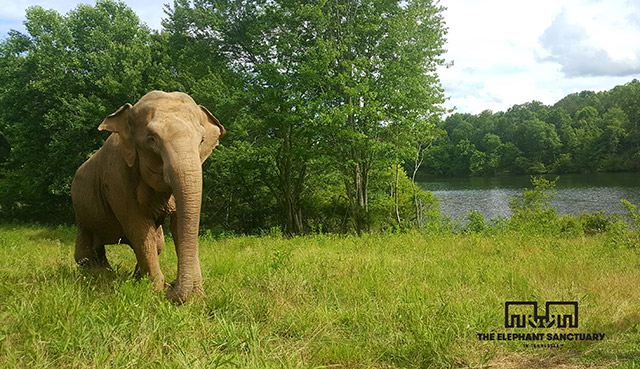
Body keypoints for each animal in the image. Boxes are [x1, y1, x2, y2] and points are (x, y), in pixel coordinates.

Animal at [70, 91, 224, 302]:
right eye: (152, 140)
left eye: (201, 140)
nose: (172, 285)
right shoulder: (116, 177)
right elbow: (138, 227)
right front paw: (156, 291)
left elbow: (177, 227)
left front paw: (198, 295)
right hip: (80, 212)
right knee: (85, 251)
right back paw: (98, 274)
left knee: (156, 244)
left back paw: (122, 274)